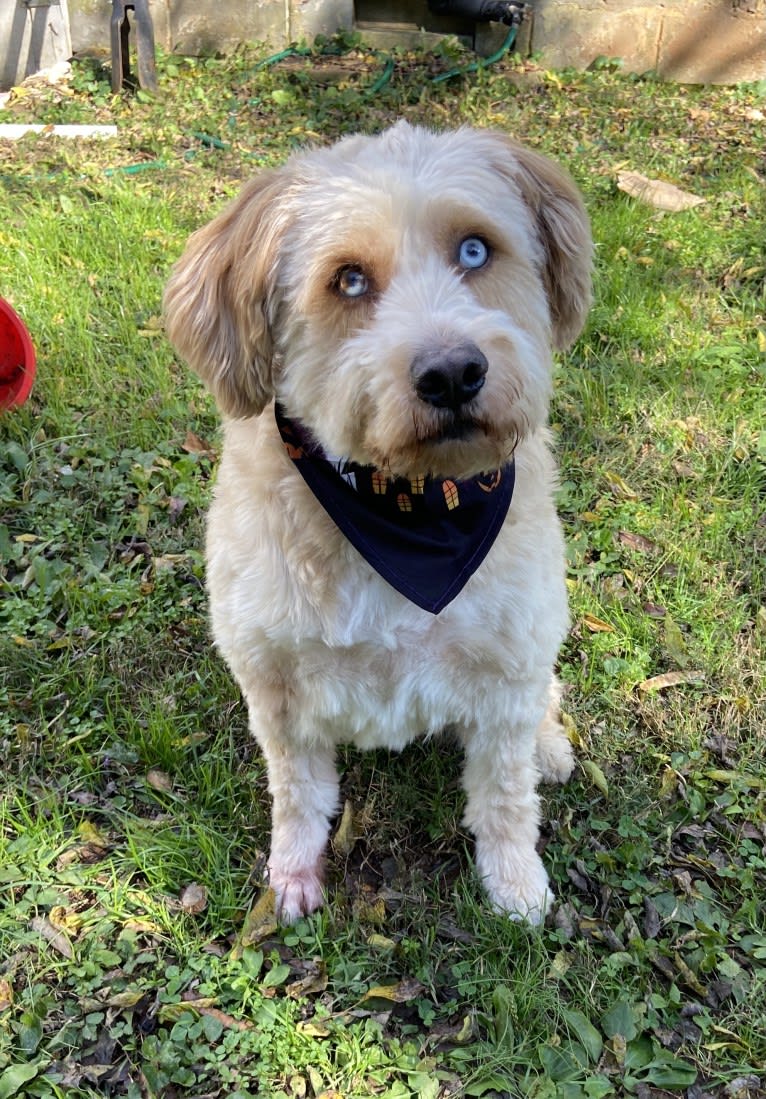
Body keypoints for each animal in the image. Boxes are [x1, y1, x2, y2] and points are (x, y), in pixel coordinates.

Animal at [165, 120, 593, 923]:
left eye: (475, 250)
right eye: (349, 280)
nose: (453, 373)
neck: (407, 509)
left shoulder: (507, 666)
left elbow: (505, 794)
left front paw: (516, 883)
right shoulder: (276, 684)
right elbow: (299, 792)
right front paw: (293, 872)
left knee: (544, 706)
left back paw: (551, 746)